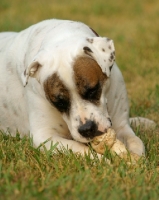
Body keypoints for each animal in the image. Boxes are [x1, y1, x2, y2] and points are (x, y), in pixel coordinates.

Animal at [0, 19, 154, 158]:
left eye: (93, 90)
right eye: (59, 102)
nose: (87, 129)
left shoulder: (122, 126)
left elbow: (136, 143)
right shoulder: (45, 137)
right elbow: (82, 150)